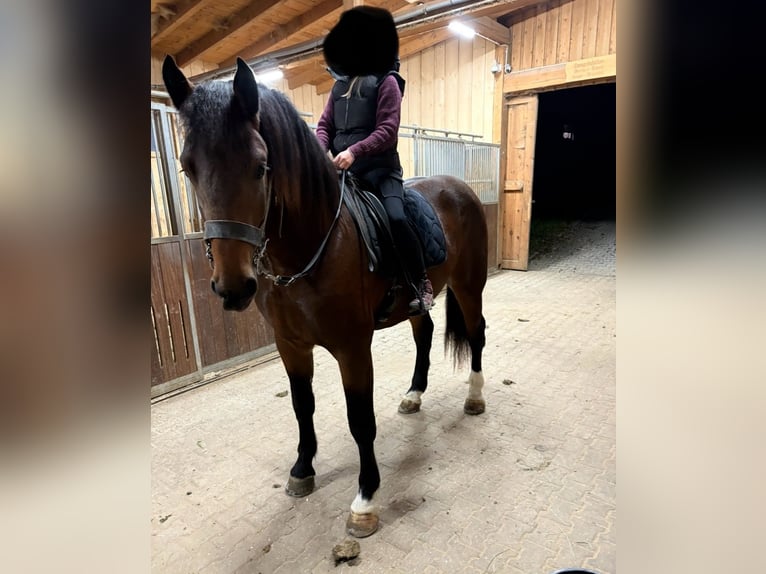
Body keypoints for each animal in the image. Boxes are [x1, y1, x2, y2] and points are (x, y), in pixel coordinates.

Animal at [162, 56, 489, 538]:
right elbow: (303, 406)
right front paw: (302, 470)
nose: (232, 286)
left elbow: (360, 421)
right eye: (188, 167)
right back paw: (413, 395)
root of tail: (460, 187)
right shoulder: (291, 345)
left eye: (260, 166)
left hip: (469, 285)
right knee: (425, 332)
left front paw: (366, 499)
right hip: (420, 301)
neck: (311, 247)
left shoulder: (352, 348)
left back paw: (475, 398)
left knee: (477, 333)